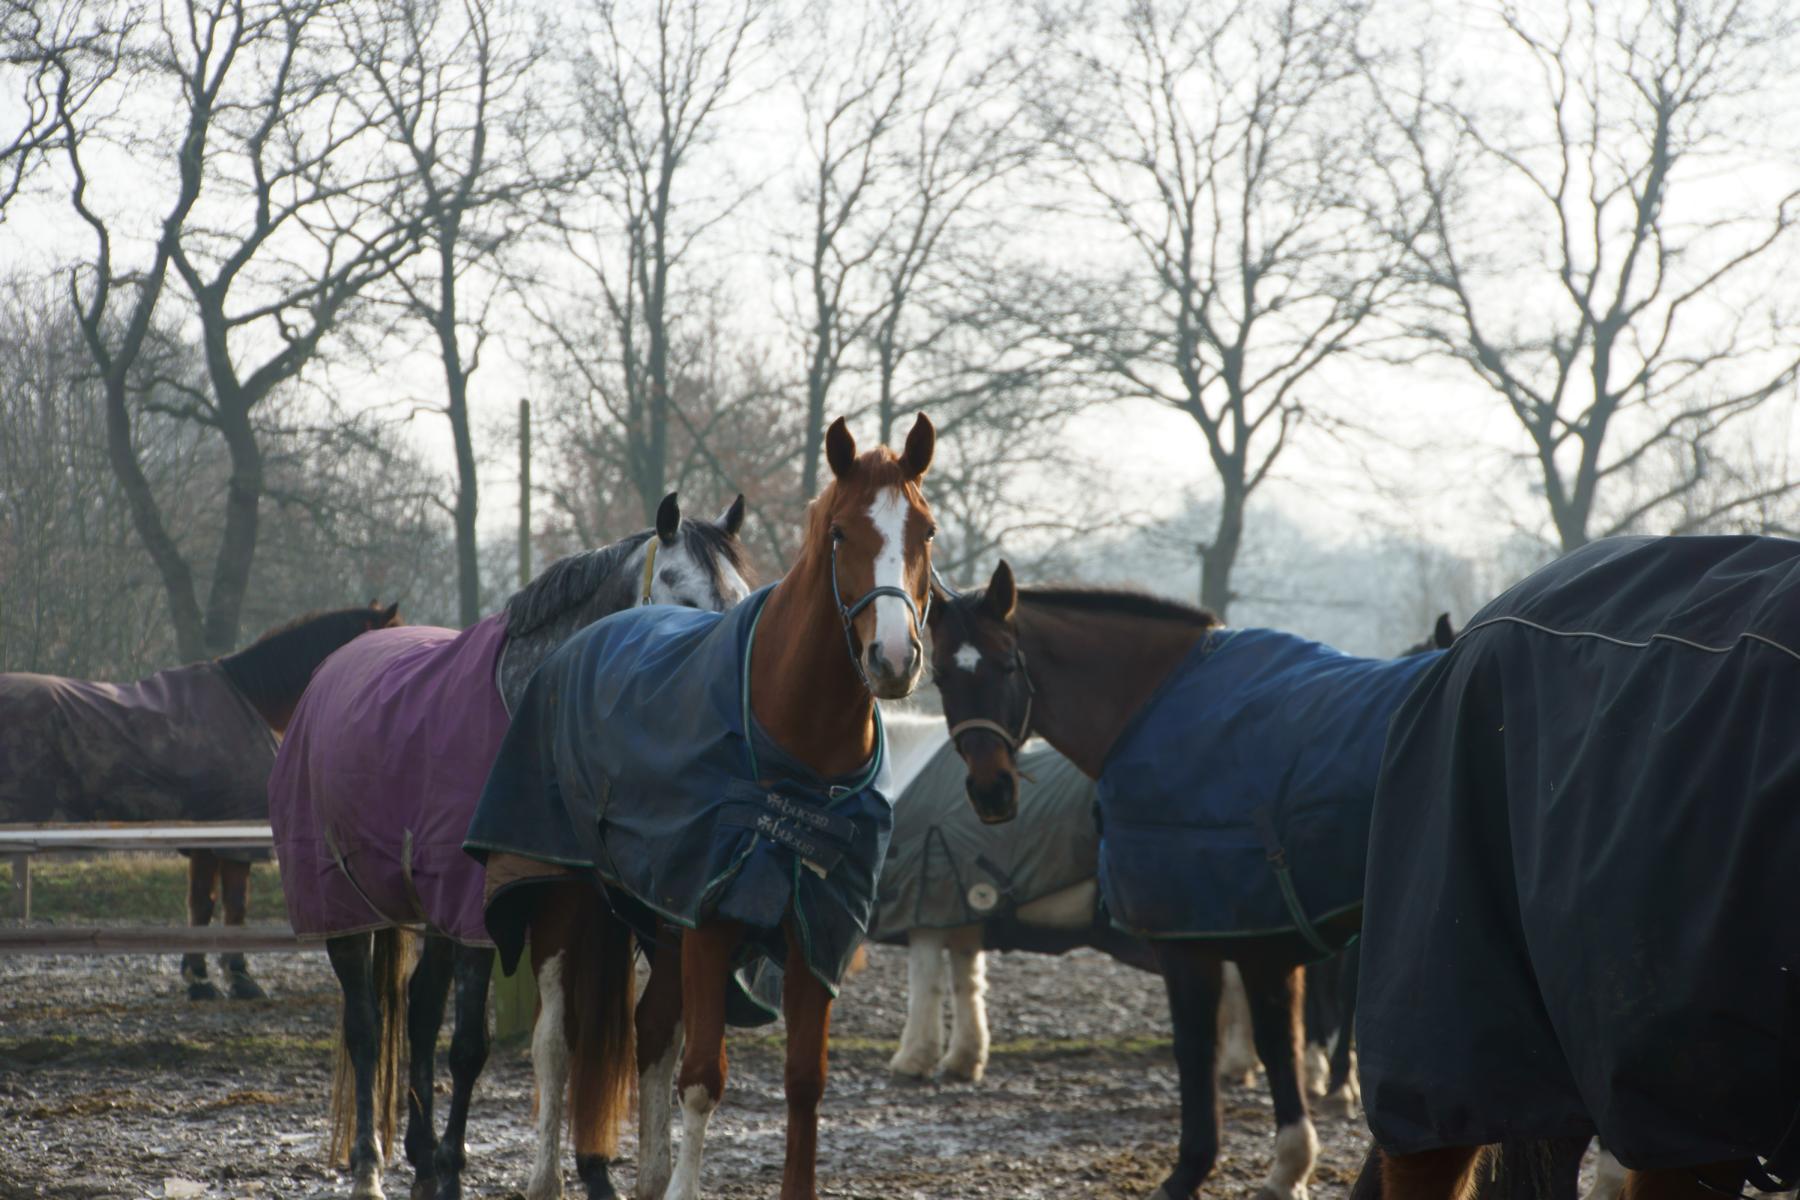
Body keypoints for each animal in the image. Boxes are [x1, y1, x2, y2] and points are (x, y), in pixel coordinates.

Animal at [0, 601, 401, 999]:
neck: (252, 700)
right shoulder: (229, 835)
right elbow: (231, 905)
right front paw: (235, 977)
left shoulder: (204, 838)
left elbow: (201, 906)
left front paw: (199, 975)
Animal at [268, 493, 750, 1200]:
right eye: (684, 599)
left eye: (740, 598)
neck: (532, 708)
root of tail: (329, 674)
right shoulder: (483, 916)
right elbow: (472, 1043)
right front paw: (455, 1172)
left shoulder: (558, 911)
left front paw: (465, 1168)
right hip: (347, 910)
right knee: (367, 1027)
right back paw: (370, 1168)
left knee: (416, 1012)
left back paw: (418, 1161)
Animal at [467, 414, 937, 1200]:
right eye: (841, 532)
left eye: (925, 531)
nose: (894, 659)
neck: (794, 753)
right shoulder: (712, 921)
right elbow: (701, 1078)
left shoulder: (815, 932)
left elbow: (803, 1082)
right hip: (566, 895)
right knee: (556, 1041)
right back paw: (545, 1176)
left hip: (659, 922)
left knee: (650, 1031)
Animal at [924, 560, 1447, 1200]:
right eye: (941, 675)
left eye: (1004, 664)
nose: (991, 790)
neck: (1160, 706)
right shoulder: (1264, 946)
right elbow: (1279, 1045)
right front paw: (1289, 1167)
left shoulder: (1192, 945)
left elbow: (1197, 1048)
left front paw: (1190, 1169)